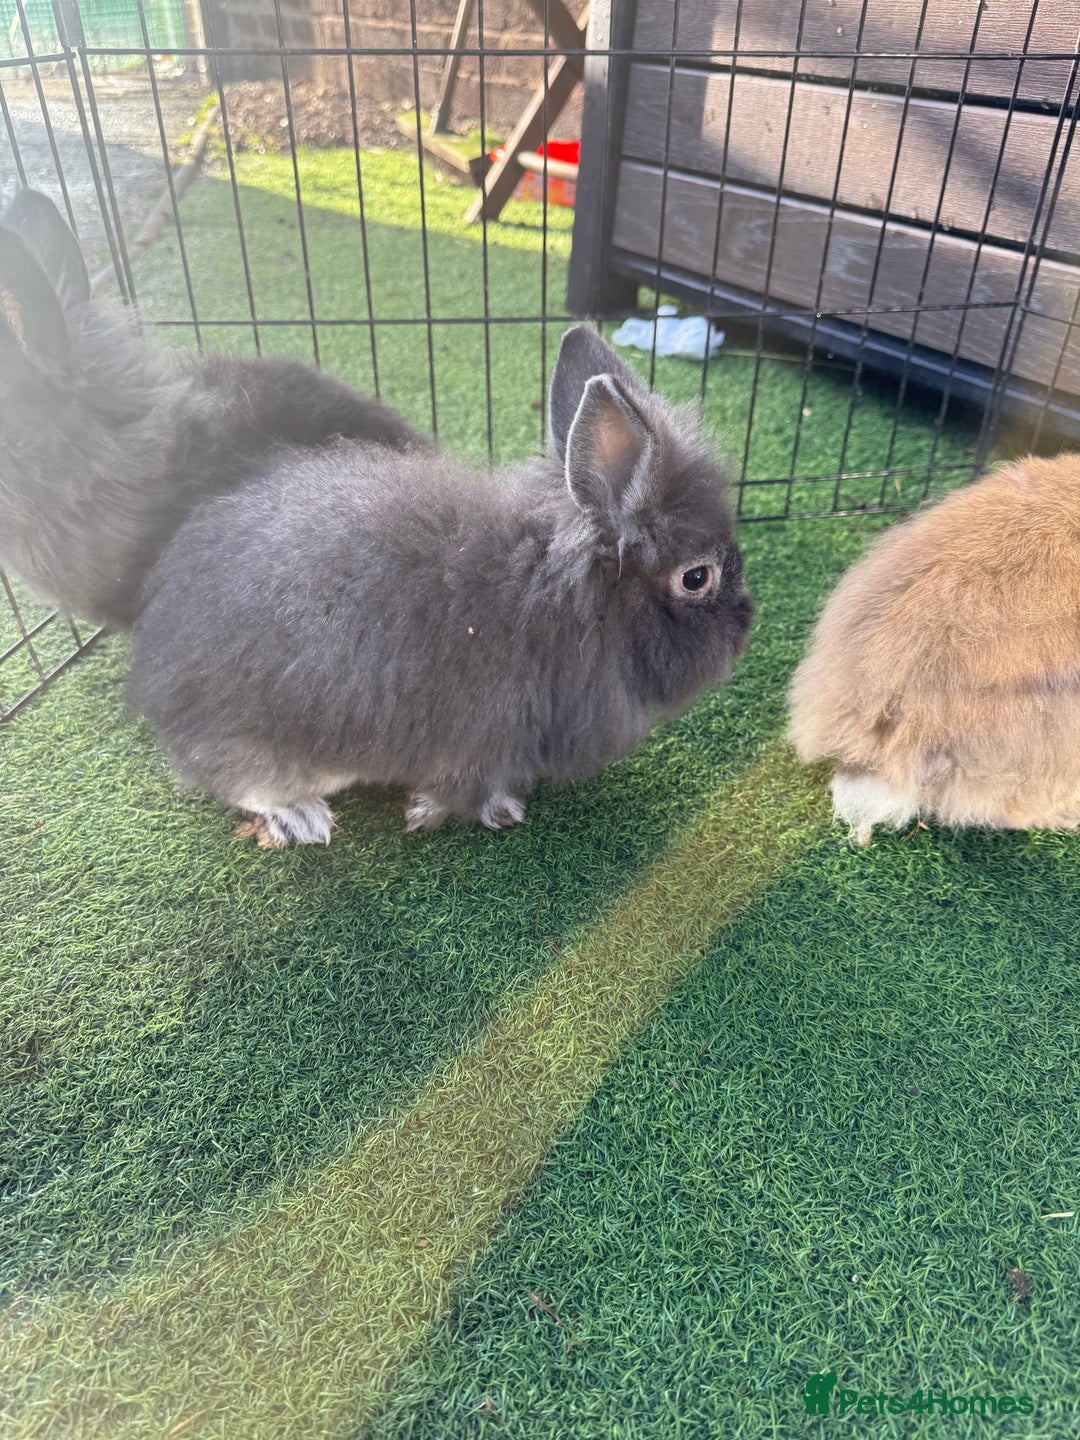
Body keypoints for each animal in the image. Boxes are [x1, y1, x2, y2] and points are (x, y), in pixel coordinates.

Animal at [127, 324, 754, 845]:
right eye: (697, 577)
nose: (747, 624)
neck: (563, 602)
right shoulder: (484, 739)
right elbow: (468, 787)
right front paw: (490, 811)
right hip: (262, 743)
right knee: (235, 778)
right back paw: (302, 817)